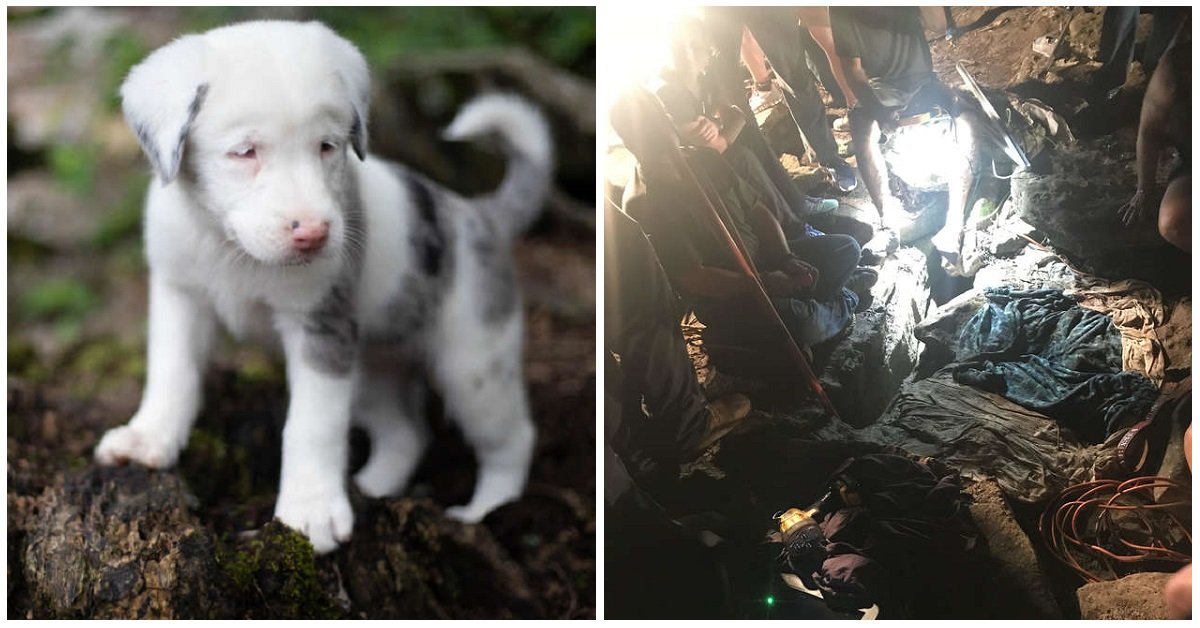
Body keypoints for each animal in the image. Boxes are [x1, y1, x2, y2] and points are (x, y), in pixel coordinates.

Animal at [93, 19, 552, 552]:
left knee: (513, 437)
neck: (228, 245)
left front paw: (309, 512)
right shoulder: (179, 296)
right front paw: (149, 438)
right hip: (374, 370)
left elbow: (313, 425)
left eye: (328, 146)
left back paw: (489, 510)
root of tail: (480, 214)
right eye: (245, 152)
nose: (313, 233)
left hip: (476, 367)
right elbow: (172, 373)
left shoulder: (319, 327)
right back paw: (374, 487)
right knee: (407, 433)